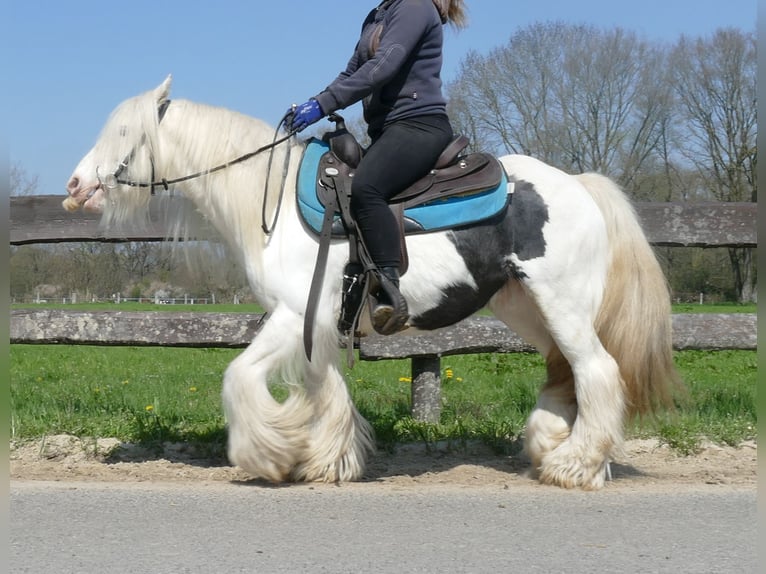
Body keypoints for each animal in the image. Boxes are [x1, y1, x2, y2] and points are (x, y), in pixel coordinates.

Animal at [64, 76, 680, 490]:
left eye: (125, 132)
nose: (74, 186)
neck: (273, 202)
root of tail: (580, 184)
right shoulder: (317, 321)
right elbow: (326, 388)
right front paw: (326, 458)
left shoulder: (295, 313)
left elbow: (239, 377)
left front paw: (268, 454)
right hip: (524, 306)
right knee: (563, 371)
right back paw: (550, 445)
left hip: (562, 305)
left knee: (597, 372)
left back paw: (576, 465)